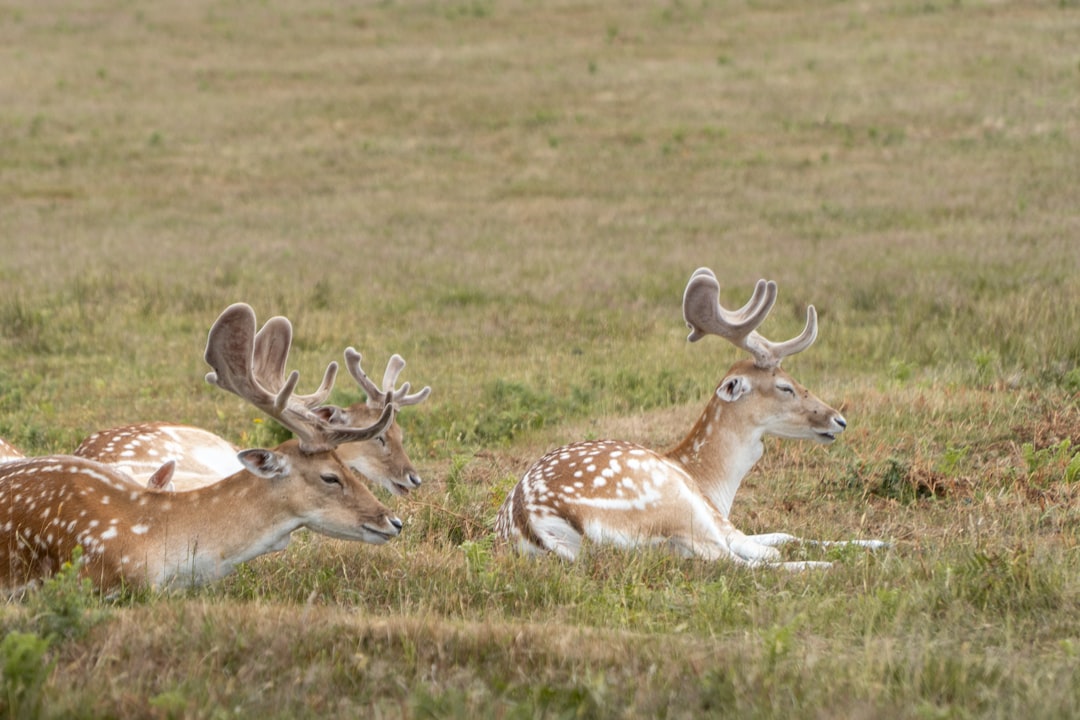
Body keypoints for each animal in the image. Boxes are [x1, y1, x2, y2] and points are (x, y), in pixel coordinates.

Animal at [494, 267, 884, 569]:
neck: (711, 480)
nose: (838, 420)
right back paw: (824, 566)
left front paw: (880, 543)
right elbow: (775, 542)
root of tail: (533, 522)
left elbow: (781, 534)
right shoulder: (715, 517)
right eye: (785, 386)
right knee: (739, 562)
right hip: (674, 505)